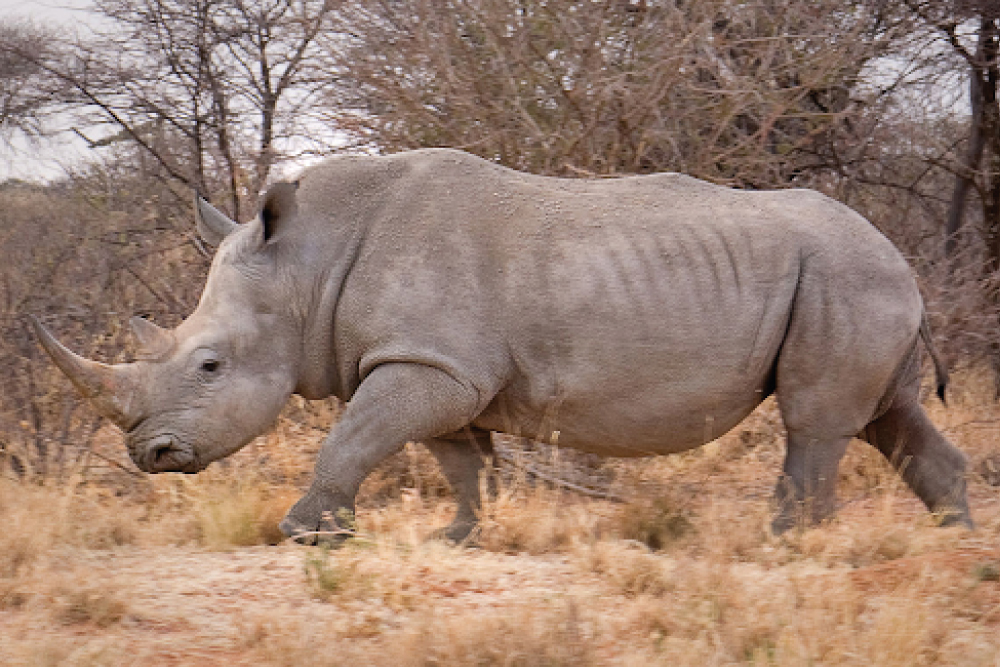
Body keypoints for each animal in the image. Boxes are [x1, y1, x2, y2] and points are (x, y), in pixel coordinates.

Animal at [33, 149, 968, 540]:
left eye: (210, 365)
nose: (151, 455)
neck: (306, 265)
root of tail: (906, 261)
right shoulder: (438, 368)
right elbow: (458, 459)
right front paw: (457, 537)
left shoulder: (427, 361)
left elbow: (352, 436)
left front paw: (303, 533)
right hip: (864, 282)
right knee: (889, 416)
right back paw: (954, 538)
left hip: (845, 276)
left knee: (817, 423)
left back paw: (782, 542)